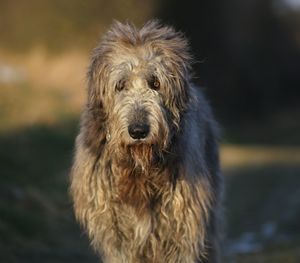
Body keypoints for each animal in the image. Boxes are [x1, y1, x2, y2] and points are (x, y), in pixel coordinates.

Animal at [69, 19, 221, 262]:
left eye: (155, 83)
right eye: (120, 84)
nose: (138, 130)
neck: (138, 169)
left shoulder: (182, 223)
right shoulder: (115, 232)